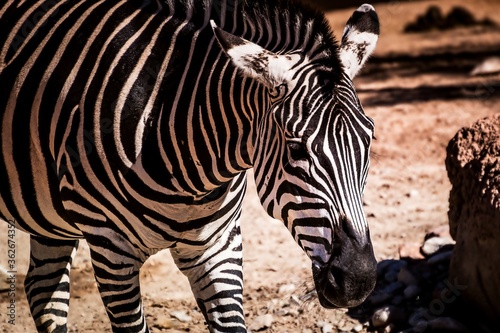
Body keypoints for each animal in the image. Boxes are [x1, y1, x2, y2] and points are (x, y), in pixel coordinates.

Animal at [0, 0, 378, 330]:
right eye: (296, 148)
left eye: (369, 139)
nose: (358, 280)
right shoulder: (111, 251)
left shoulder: (219, 247)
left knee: (43, 289)